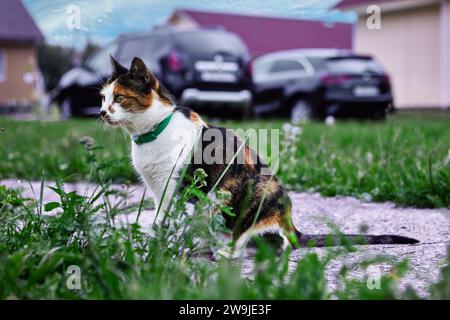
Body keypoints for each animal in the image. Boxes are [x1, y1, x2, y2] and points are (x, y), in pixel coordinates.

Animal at [100, 56, 420, 258]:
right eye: (103, 98)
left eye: (120, 98)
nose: (101, 112)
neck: (152, 132)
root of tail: (293, 225)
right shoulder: (158, 192)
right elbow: (158, 222)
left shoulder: (177, 190)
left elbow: (168, 222)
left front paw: (159, 252)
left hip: (249, 196)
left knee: (273, 244)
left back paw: (225, 252)